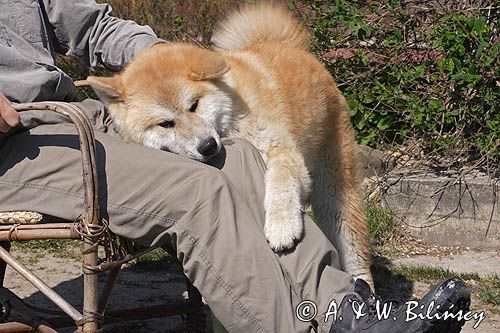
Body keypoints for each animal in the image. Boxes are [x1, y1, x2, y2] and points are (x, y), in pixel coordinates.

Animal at [80, 1, 374, 284]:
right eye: (165, 123)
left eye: (194, 105)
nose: (208, 146)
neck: (232, 116)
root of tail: (291, 48)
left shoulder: (283, 153)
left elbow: (281, 181)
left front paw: (282, 226)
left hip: (334, 194)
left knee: (354, 253)